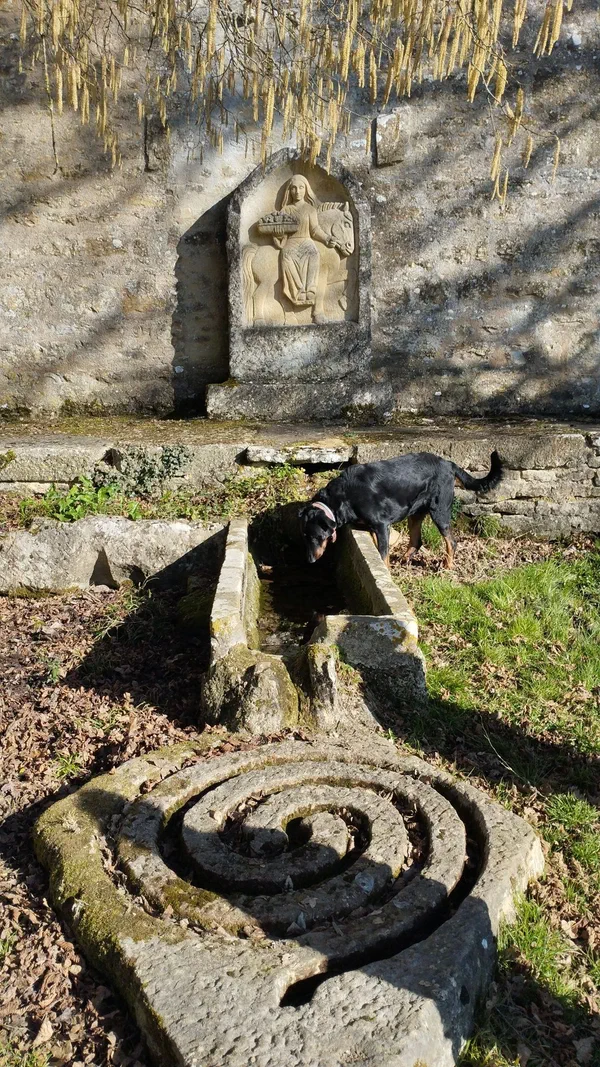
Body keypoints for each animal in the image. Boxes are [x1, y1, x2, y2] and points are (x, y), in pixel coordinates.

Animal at [299, 451, 502, 569]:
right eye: (305, 537)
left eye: (317, 537)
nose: (309, 560)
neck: (342, 497)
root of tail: (448, 463)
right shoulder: (375, 528)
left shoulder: (381, 525)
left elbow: (383, 556)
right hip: (415, 512)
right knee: (417, 540)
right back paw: (405, 560)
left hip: (440, 511)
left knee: (451, 541)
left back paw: (447, 566)